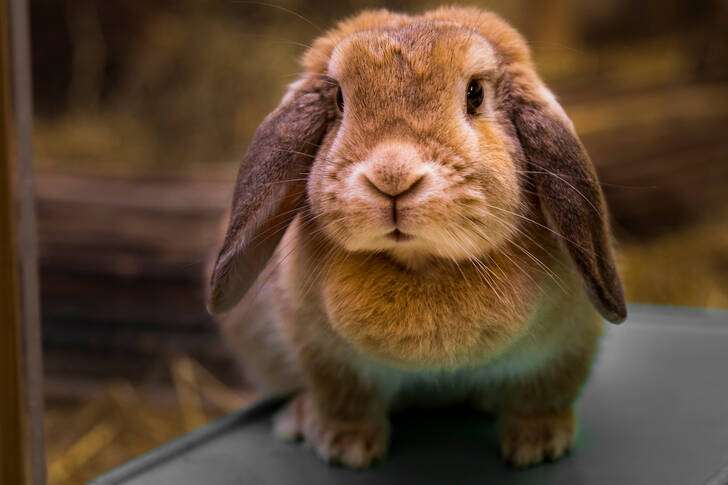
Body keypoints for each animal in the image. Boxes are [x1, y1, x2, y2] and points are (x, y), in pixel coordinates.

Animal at [206, 6, 626, 469]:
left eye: (475, 94)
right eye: (339, 100)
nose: (392, 177)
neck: (422, 265)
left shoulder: (563, 347)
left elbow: (542, 394)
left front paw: (540, 445)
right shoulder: (325, 356)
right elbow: (344, 399)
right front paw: (344, 447)